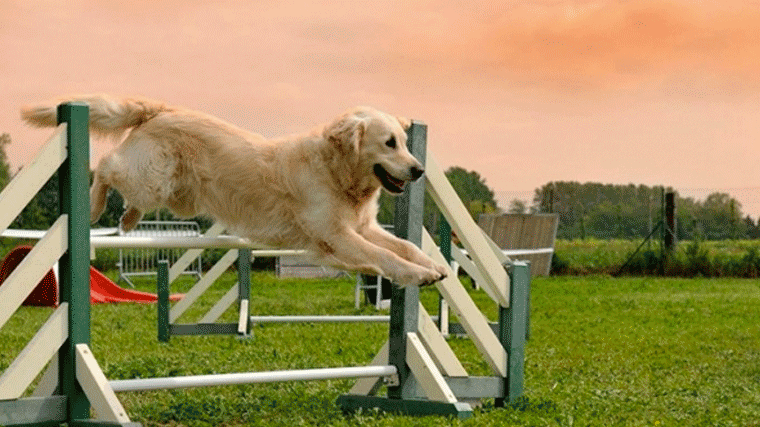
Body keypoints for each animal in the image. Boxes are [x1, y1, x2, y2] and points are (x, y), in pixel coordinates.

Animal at [23, 95, 448, 286]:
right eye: (389, 143)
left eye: (406, 142)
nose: (419, 169)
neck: (336, 172)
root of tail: (160, 110)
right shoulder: (336, 234)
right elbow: (385, 255)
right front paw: (418, 275)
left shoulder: (361, 228)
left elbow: (403, 245)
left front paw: (436, 265)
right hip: (152, 178)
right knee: (108, 166)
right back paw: (96, 208)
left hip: (175, 194)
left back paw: (128, 218)